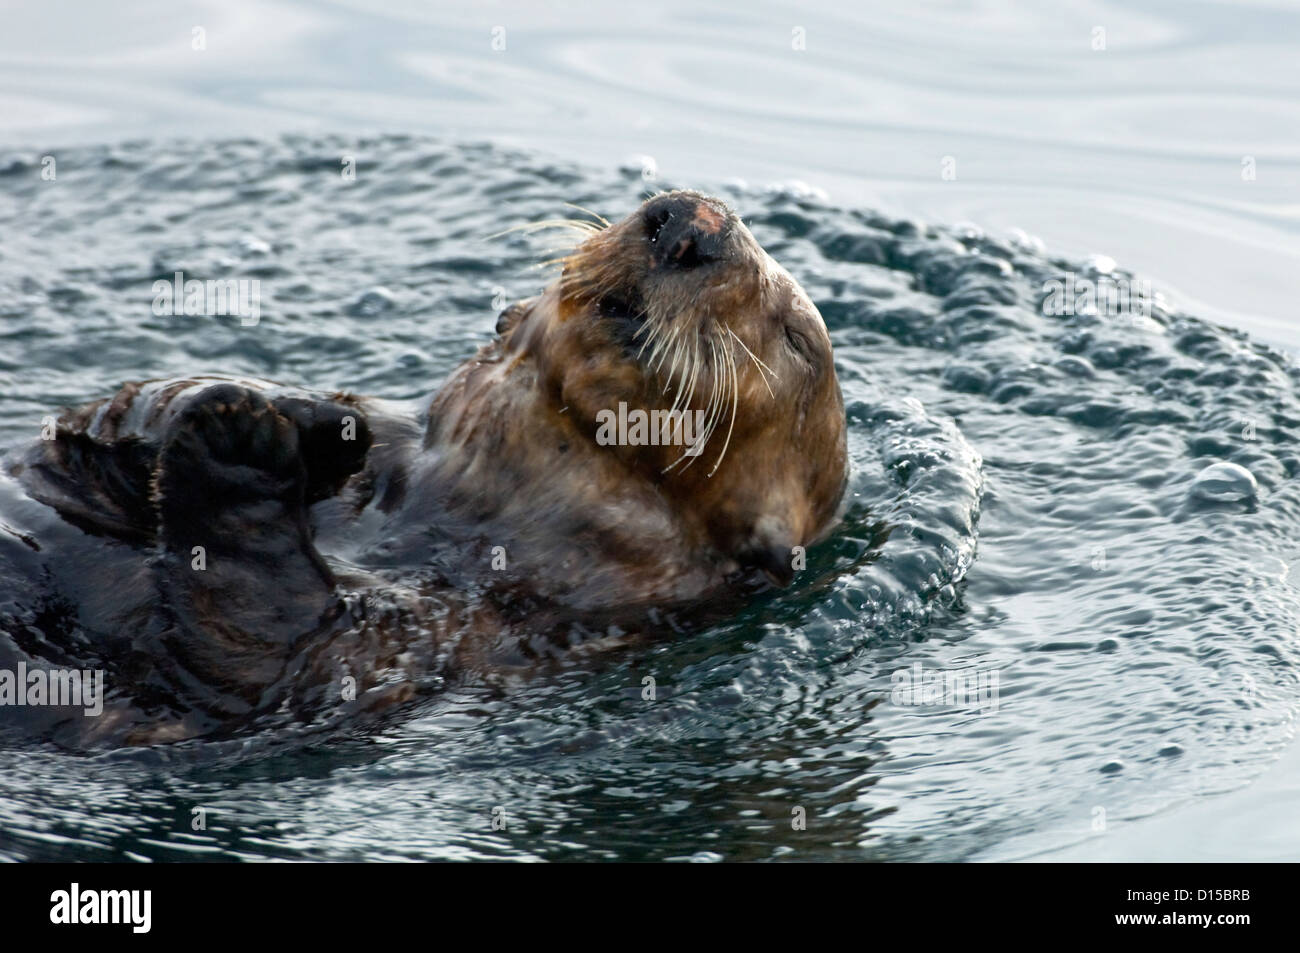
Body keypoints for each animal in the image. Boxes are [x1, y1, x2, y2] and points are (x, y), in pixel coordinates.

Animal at [0, 190, 847, 746]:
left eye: (794, 336)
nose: (687, 221)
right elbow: (74, 442)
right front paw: (296, 416)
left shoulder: (406, 652)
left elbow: (256, 640)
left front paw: (239, 434)